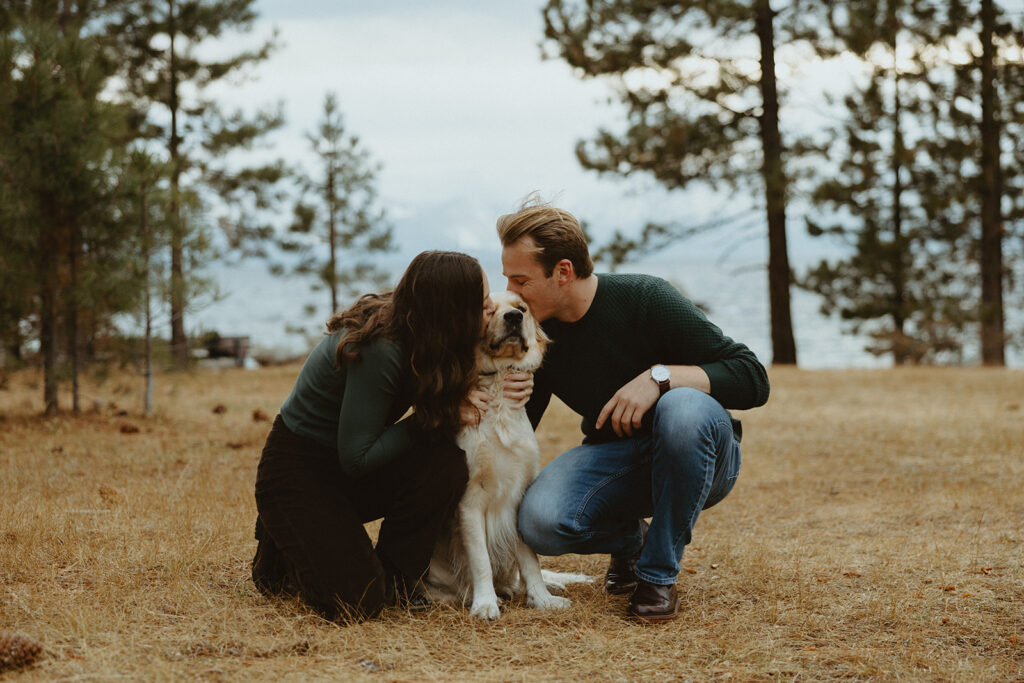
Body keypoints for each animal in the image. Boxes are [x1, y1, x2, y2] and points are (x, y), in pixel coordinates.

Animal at [415, 290, 577, 618]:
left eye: (522, 308)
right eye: (488, 310)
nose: (513, 317)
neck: (500, 382)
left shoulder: (520, 497)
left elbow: (531, 560)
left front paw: (542, 599)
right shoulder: (469, 502)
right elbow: (480, 561)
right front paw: (485, 603)